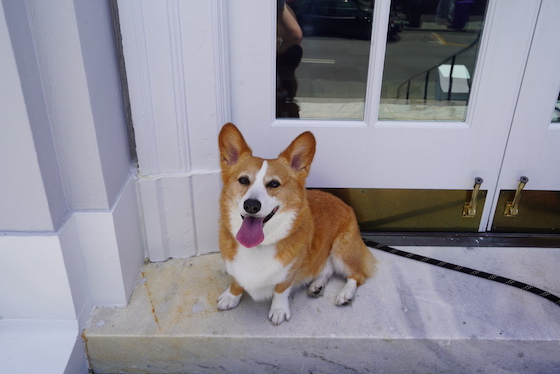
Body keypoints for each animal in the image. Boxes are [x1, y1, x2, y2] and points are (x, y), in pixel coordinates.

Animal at [217, 122, 374, 324]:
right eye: (243, 180)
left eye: (274, 184)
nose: (251, 205)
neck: (259, 246)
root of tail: (344, 203)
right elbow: (236, 280)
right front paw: (231, 296)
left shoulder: (290, 271)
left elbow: (281, 288)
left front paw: (278, 310)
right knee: (326, 269)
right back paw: (317, 286)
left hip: (342, 250)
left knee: (357, 275)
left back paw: (345, 293)